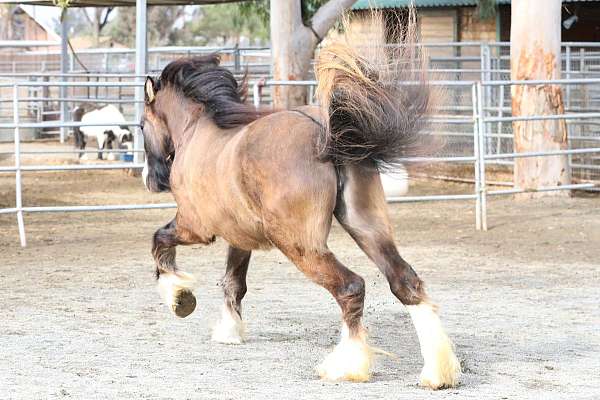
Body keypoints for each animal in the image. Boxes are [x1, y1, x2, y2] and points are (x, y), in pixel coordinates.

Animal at [141, 21, 460, 388]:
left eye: (141, 125)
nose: (150, 180)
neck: (197, 134)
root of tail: (326, 136)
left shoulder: (196, 227)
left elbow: (160, 240)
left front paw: (179, 297)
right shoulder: (240, 236)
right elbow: (233, 283)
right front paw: (229, 331)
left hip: (300, 244)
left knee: (351, 287)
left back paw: (346, 365)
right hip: (367, 226)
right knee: (405, 281)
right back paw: (438, 372)